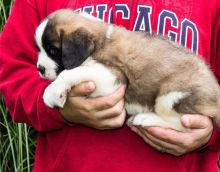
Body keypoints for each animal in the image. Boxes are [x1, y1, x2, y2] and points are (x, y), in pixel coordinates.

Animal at [35, 8, 220, 131]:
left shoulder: (113, 77)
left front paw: (52, 92)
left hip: (171, 94)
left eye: (52, 51)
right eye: (40, 49)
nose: (39, 68)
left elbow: (73, 71)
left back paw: (146, 118)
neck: (99, 43)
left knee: (183, 125)